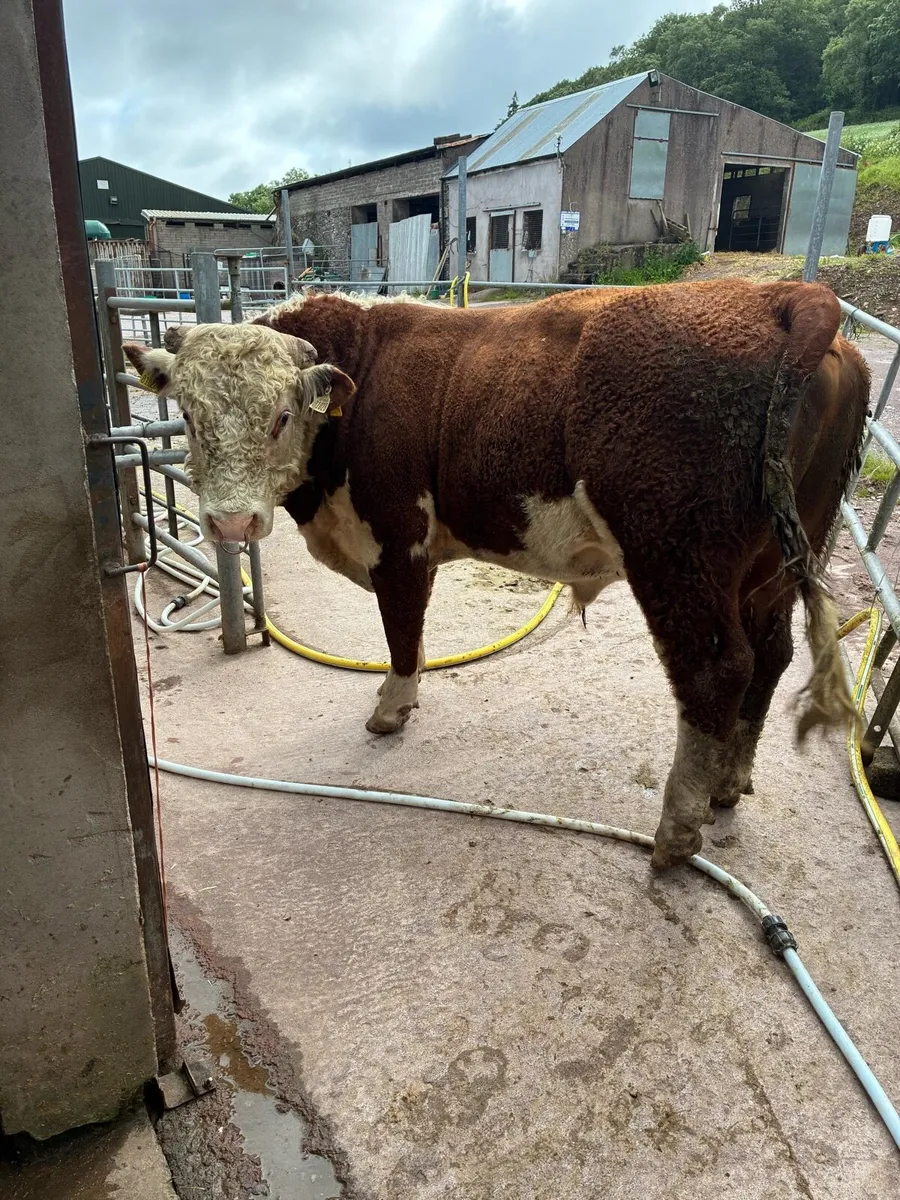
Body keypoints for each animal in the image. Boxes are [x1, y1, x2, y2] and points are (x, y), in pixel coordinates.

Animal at [124, 278, 869, 869]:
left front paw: (391, 709)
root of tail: (780, 295)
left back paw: (676, 831)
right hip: (778, 557)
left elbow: (400, 626)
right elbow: (411, 624)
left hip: (678, 554)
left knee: (716, 670)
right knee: (772, 652)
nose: (229, 523)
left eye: (280, 417)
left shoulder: (396, 534)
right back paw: (727, 783)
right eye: (186, 414)